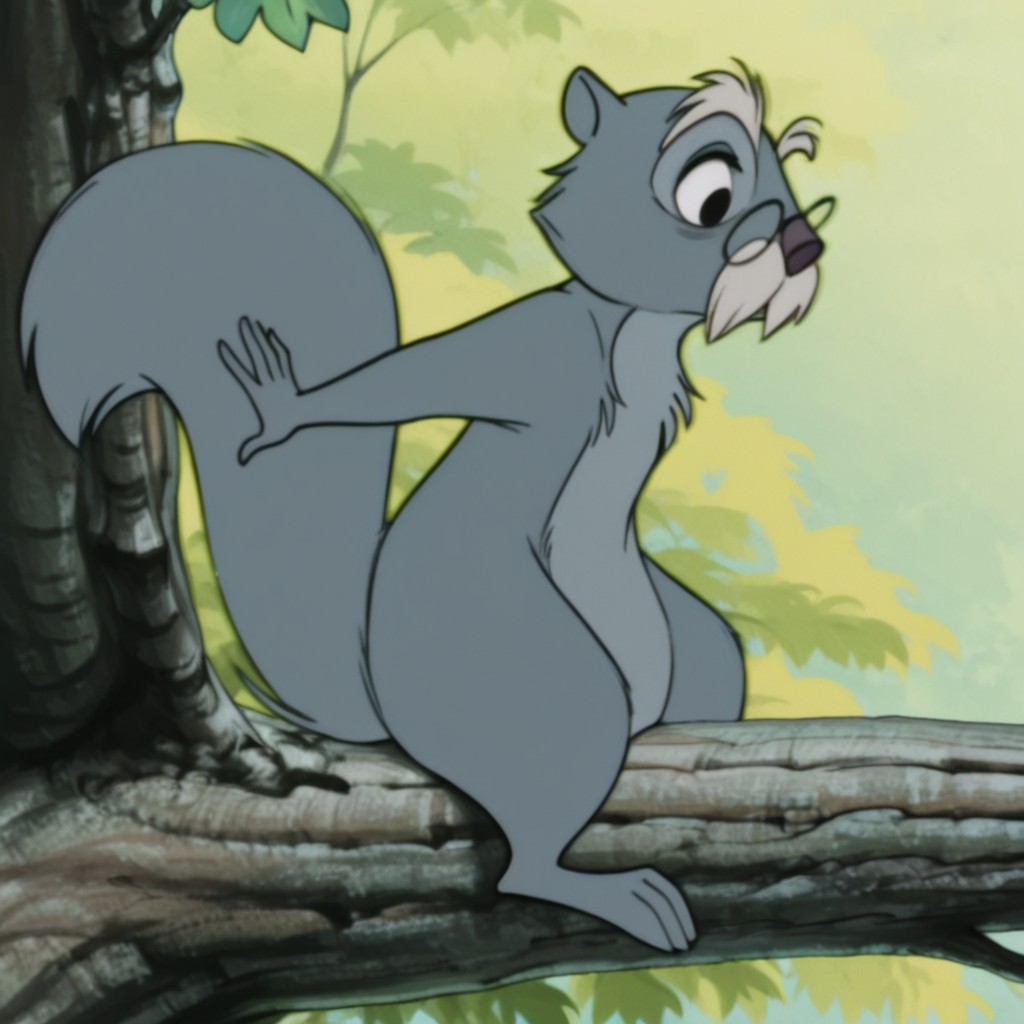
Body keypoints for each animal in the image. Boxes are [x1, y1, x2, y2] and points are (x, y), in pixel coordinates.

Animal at [21, 65, 827, 952]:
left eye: (787, 172)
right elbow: (411, 378)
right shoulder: (533, 348)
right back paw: (619, 896)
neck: (635, 327)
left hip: (694, 652)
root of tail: (384, 705)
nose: (805, 247)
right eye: (708, 193)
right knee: (524, 864)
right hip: (545, 680)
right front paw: (282, 407)